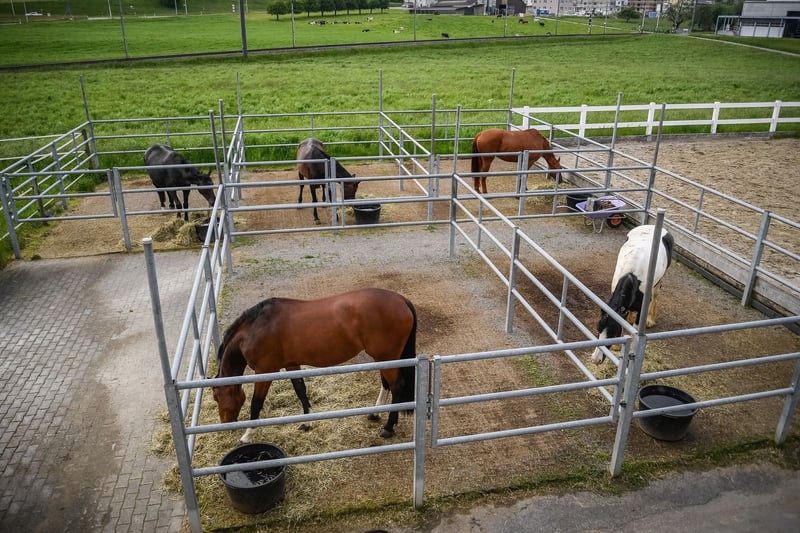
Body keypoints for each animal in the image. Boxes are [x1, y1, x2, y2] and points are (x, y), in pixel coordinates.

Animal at [212, 288, 418, 442]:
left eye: (216, 397)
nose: (225, 424)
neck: (255, 330)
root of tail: (402, 300)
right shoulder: (291, 365)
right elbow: (300, 390)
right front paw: (307, 422)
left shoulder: (265, 371)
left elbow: (256, 403)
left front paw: (247, 435)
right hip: (384, 357)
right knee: (386, 384)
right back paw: (375, 414)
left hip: (386, 357)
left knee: (396, 385)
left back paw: (388, 427)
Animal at [592, 225, 675, 363]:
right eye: (598, 329)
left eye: (612, 333)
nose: (595, 359)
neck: (631, 276)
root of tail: (652, 226)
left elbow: (635, 330)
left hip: (660, 278)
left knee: (656, 295)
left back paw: (650, 320)